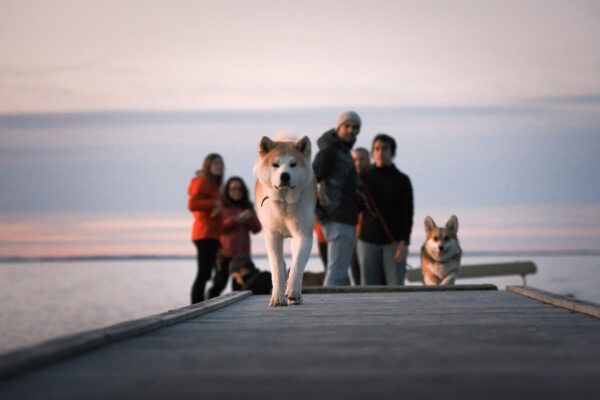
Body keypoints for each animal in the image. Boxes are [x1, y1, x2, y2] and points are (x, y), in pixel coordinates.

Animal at [253, 136, 316, 308]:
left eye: (293, 164)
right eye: (275, 164)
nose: (285, 176)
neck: (285, 202)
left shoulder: (303, 235)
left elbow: (297, 266)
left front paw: (293, 292)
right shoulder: (273, 236)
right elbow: (276, 269)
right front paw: (278, 298)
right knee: (281, 264)